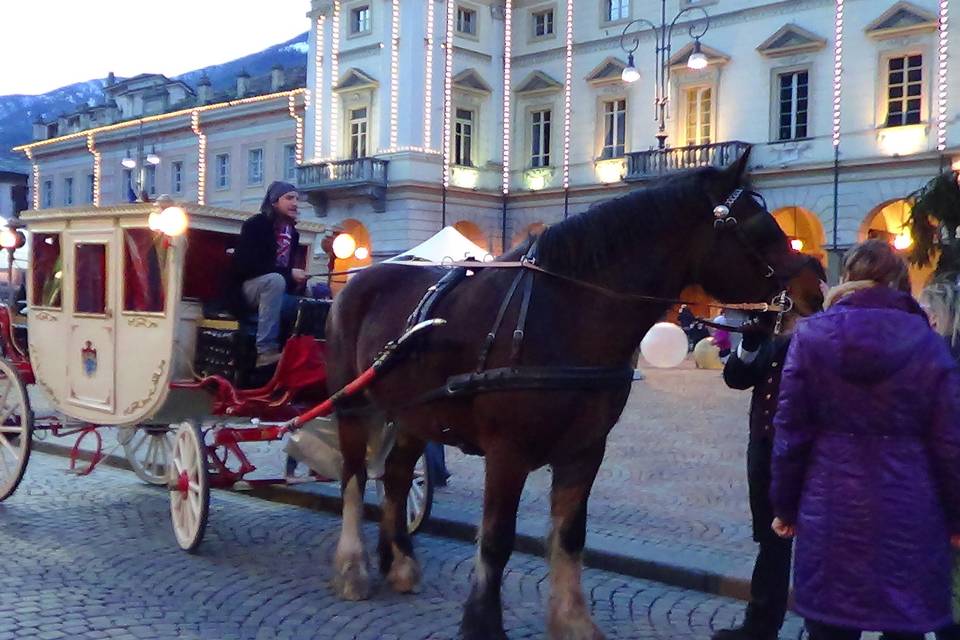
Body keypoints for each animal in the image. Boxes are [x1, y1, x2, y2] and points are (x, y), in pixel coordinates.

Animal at [324, 152, 808, 636]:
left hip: (411, 414)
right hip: (353, 408)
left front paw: (573, 621)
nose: (813, 291)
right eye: (758, 227)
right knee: (354, 477)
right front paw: (483, 624)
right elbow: (497, 539)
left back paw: (399, 562)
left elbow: (571, 535)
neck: (564, 310)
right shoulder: (508, 452)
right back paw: (353, 567)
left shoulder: (585, 449)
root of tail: (363, 278)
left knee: (396, 477)